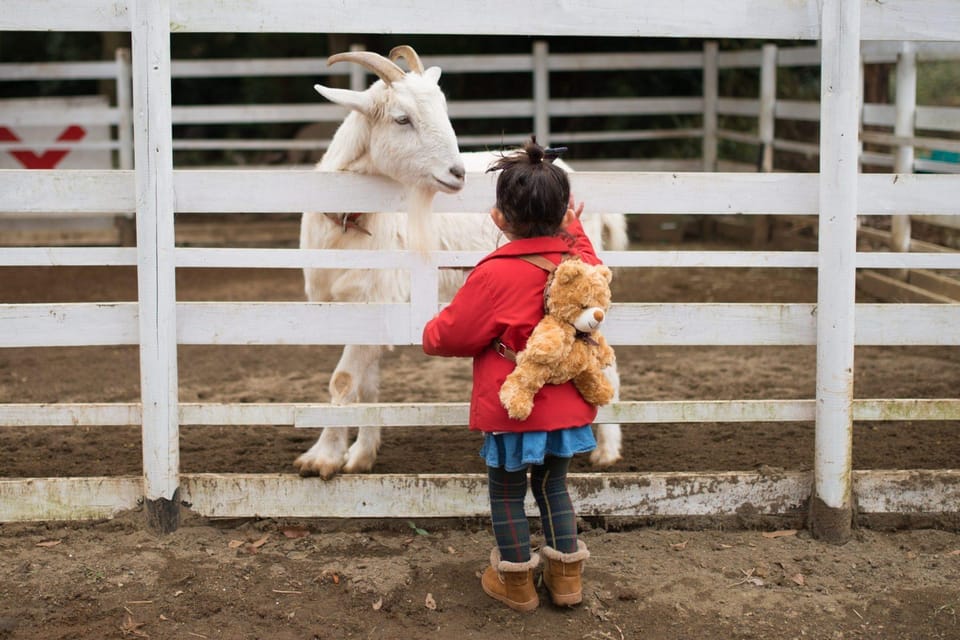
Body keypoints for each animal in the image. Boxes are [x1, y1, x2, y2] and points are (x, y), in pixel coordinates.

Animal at [296, 46, 628, 480]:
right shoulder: (349, 306)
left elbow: (343, 379)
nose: (456, 173)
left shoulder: (378, 298)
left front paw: (322, 458)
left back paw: (607, 451)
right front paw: (359, 456)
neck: (349, 224)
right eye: (402, 118)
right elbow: (365, 385)